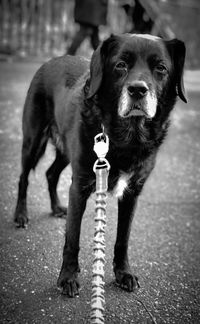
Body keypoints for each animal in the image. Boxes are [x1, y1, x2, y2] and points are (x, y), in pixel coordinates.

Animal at [14, 33, 188, 296]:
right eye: (121, 65)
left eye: (161, 68)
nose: (138, 90)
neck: (127, 137)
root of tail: (51, 60)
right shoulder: (80, 186)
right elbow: (72, 238)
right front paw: (67, 277)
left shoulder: (132, 192)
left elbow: (123, 239)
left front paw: (123, 273)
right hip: (33, 140)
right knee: (24, 177)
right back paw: (21, 215)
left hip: (66, 151)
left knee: (51, 173)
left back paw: (56, 207)